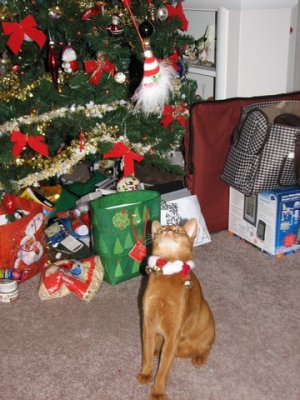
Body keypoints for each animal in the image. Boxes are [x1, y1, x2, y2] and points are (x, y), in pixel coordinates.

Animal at [137, 219, 214, 400]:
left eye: (178, 230)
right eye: (161, 230)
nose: (167, 231)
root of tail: (183, 353)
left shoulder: (173, 334)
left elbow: (163, 369)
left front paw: (158, 392)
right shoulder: (148, 324)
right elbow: (146, 354)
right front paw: (146, 374)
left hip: (207, 318)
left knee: (206, 346)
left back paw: (199, 358)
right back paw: (157, 351)